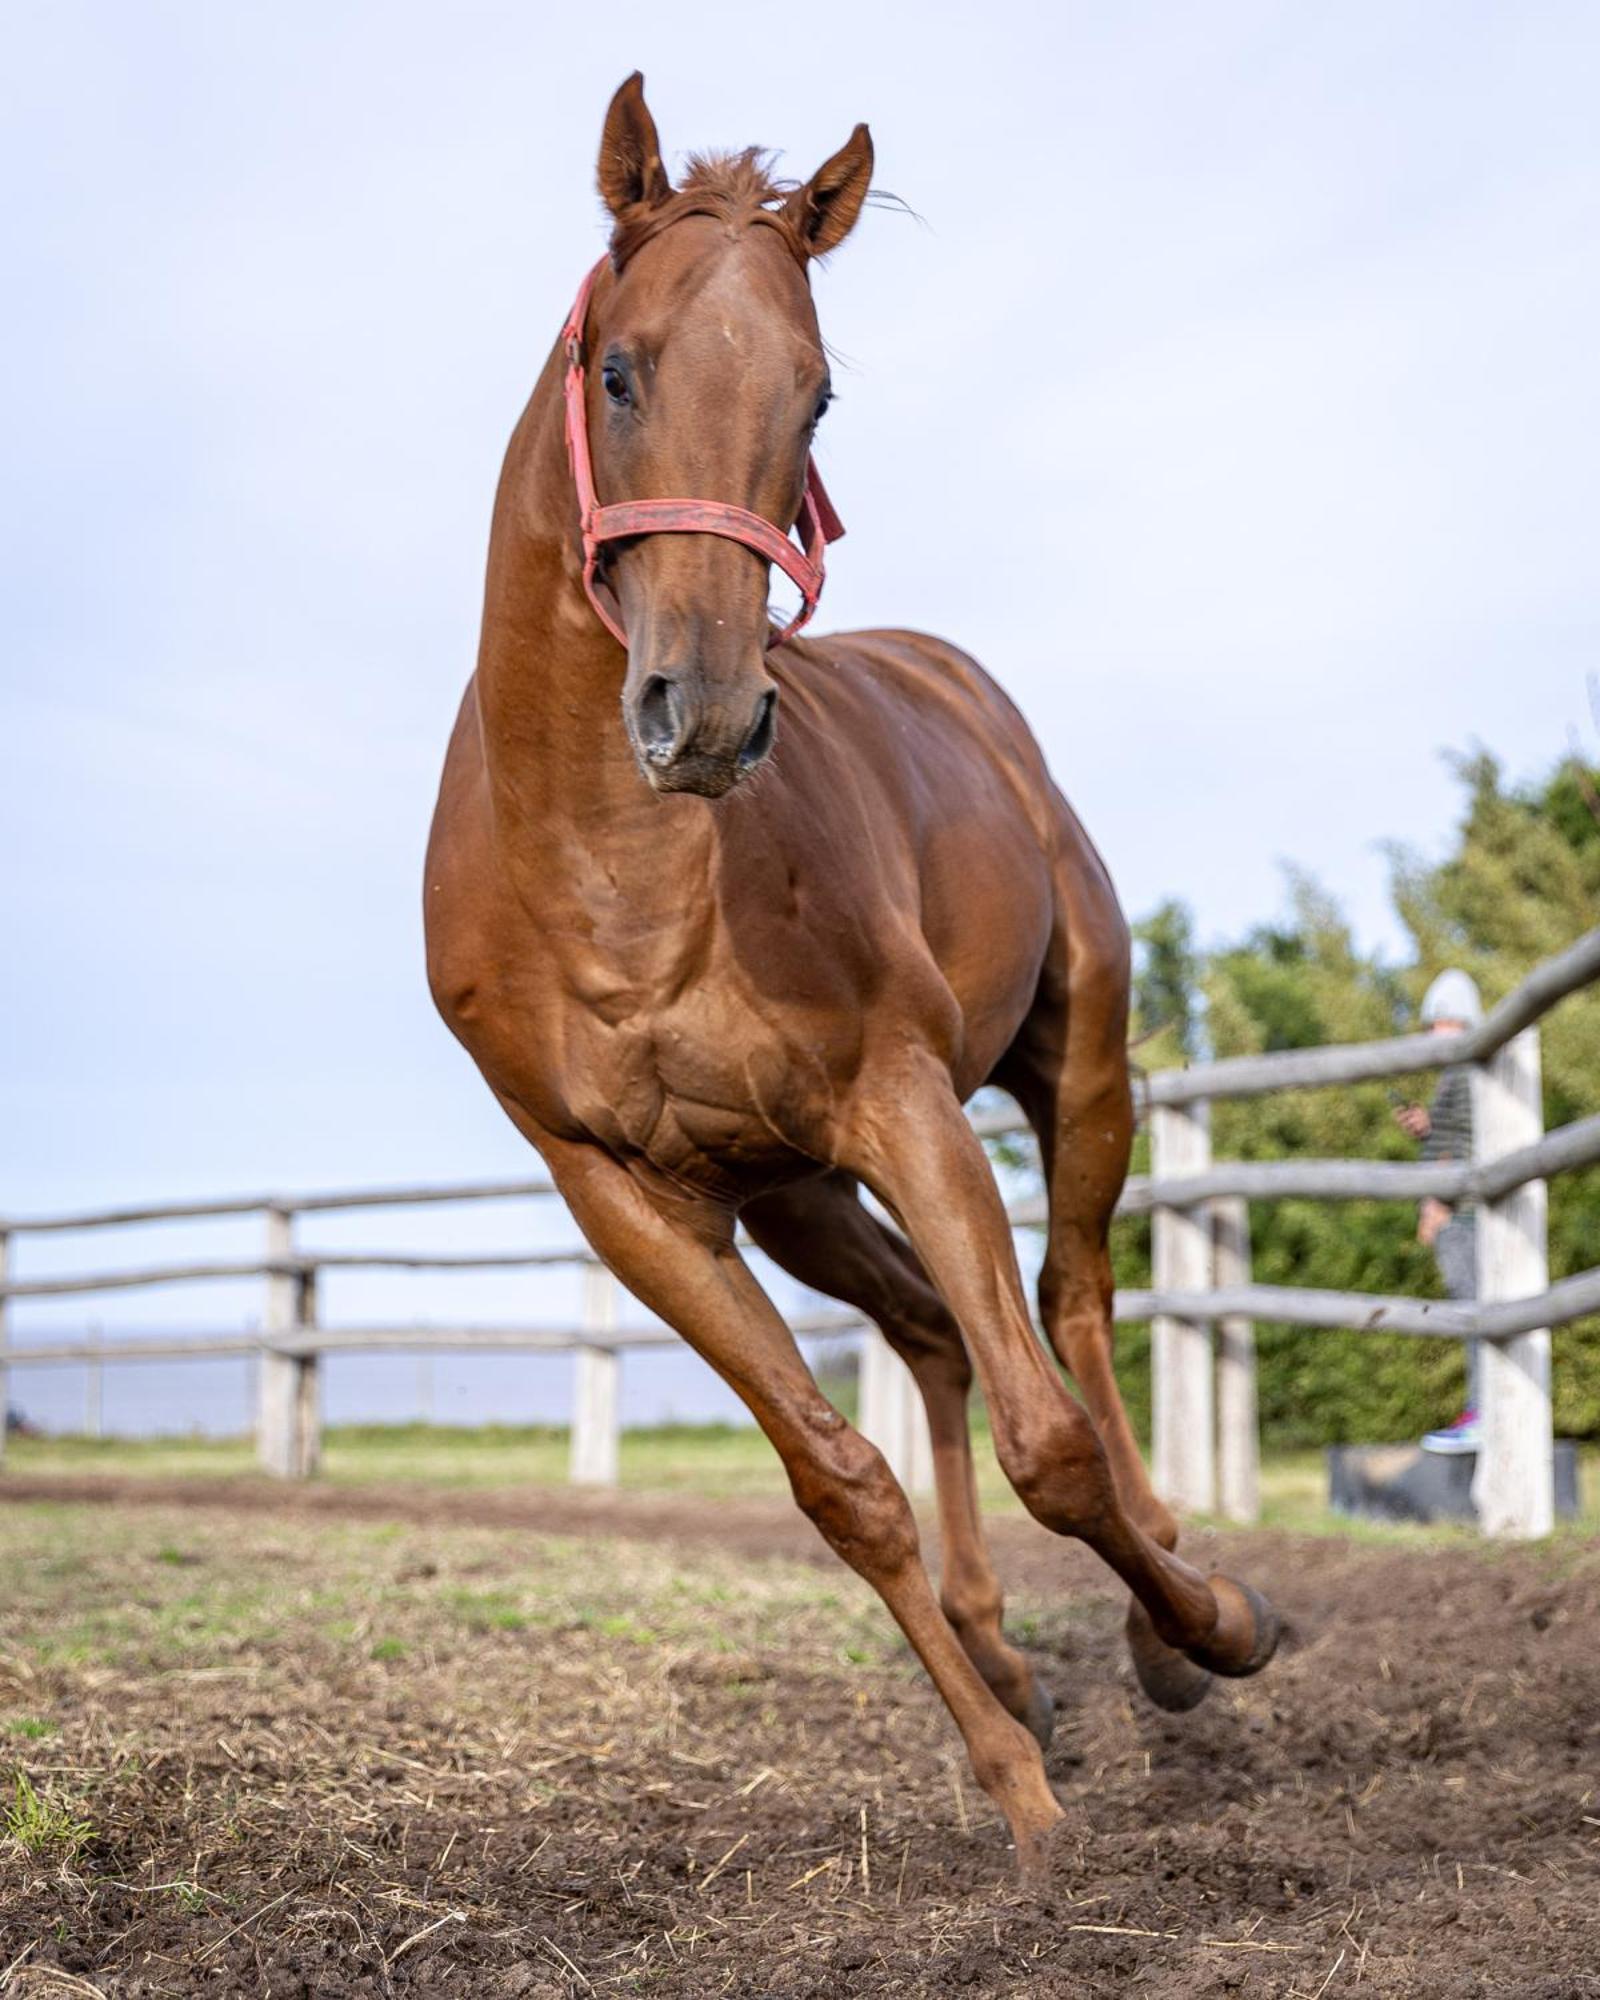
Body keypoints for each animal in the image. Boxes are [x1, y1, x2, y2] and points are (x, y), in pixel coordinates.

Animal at [424, 66, 1272, 1872]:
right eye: (621, 368)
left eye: (814, 401)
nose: (707, 710)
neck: (611, 881)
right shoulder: (631, 1196)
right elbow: (838, 1485)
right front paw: (1013, 1782)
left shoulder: (901, 1101)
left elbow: (1051, 1445)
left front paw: (1218, 1625)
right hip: (794, 1196)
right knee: (938, 1335)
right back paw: (1013, 1660)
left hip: (1073, 1066)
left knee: (1071, 1310)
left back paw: (1172, 1609)